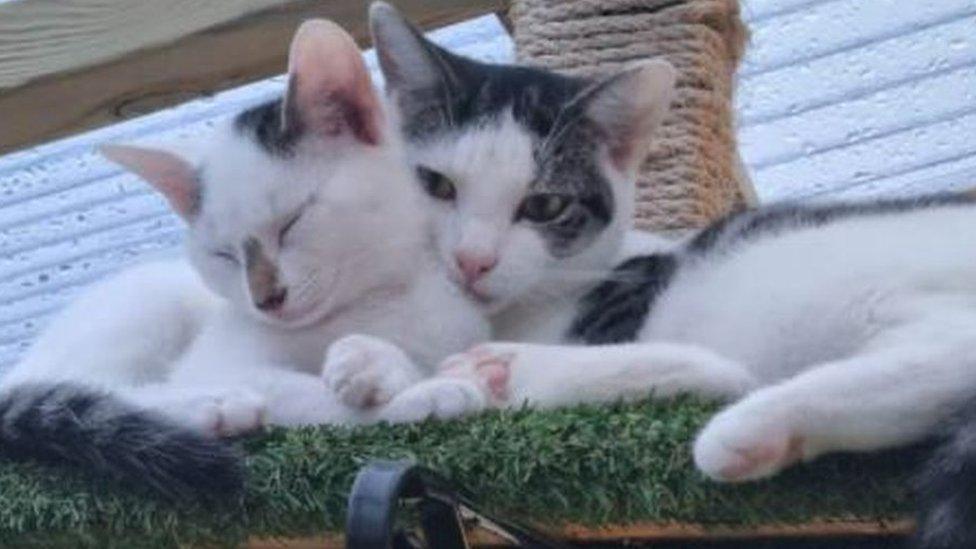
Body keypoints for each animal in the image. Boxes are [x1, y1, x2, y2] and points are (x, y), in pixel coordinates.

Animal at [0, 19, 488, 500]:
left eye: (291, 222)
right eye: (224, 254)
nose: (266, 298)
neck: (375, 297)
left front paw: (387, 368)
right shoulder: (225, 361)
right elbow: (311, 404)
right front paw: (424, 397)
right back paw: (212, 407)